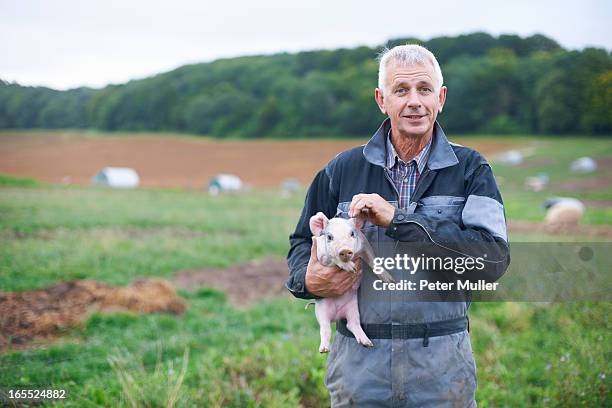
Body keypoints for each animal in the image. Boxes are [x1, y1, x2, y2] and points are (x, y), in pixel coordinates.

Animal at [308, 212, 394, 352]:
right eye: (330, 237)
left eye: (352, 233)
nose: (344, 250)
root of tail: (337, 315)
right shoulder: (321, 254)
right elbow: (333, 258)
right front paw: (352, 268)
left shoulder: (364, 244)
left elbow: (372, 259)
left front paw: (391, 281)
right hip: (321, 308)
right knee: (325, 327)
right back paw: (324, 349)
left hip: (352, 308)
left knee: (351, 324)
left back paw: (367, 343)